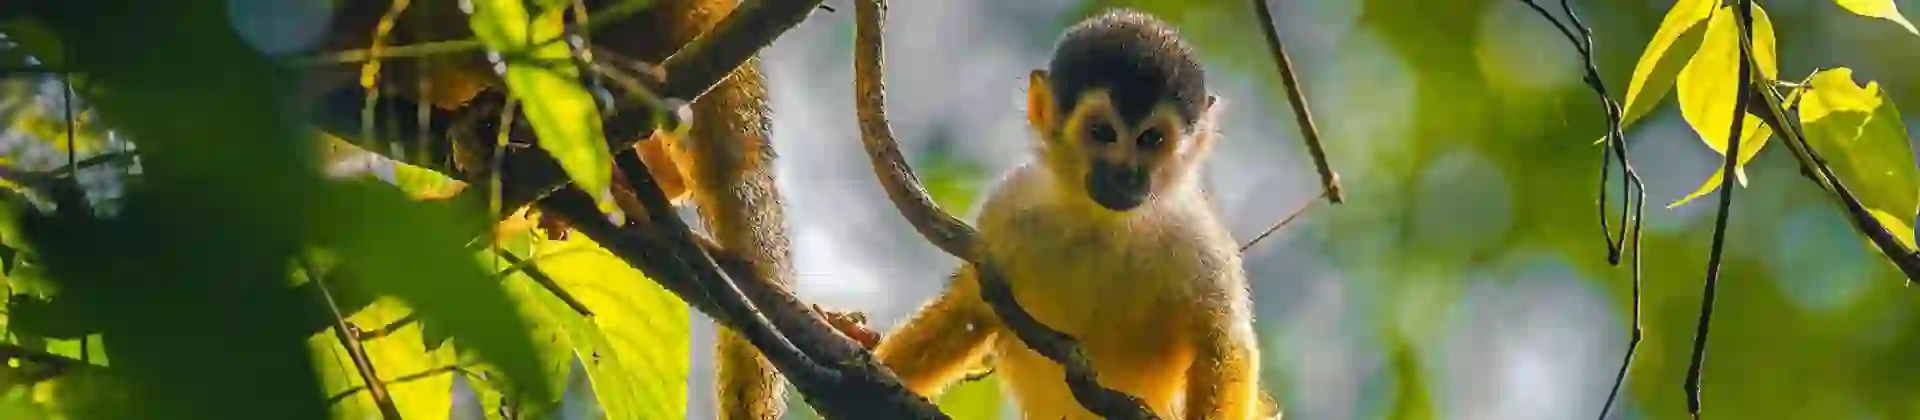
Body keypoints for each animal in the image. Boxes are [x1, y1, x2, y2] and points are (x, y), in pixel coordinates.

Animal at [871, 9, 1277, 419]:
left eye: (1152, 139)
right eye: (1101, 132)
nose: (1125, 175)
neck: (1102, 223)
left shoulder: (1198, 237)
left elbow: (1224, 344)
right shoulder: (1006, 210)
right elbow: (971, 308)